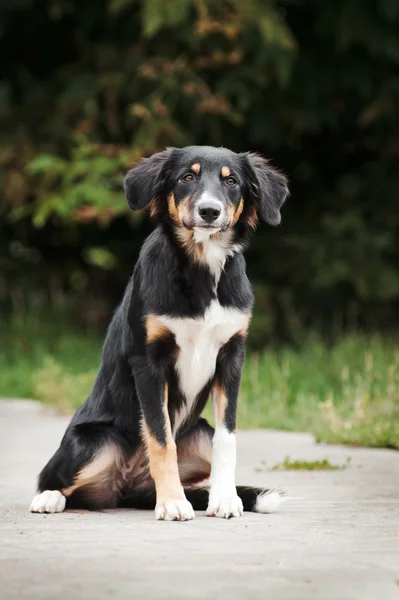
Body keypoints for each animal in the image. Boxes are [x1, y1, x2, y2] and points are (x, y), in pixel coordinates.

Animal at [28, 145, 290, 520]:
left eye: (231, 182)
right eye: (187, 177)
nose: (209, 211)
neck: (201, 268)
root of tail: (128, 488)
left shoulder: (232, 355)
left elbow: (228, 438)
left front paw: (225, 499)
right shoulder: (149, 362)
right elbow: (160, 437)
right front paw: (172, 501)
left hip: (199, 433)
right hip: (95, 443)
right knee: (56, 480)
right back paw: (49, 498)